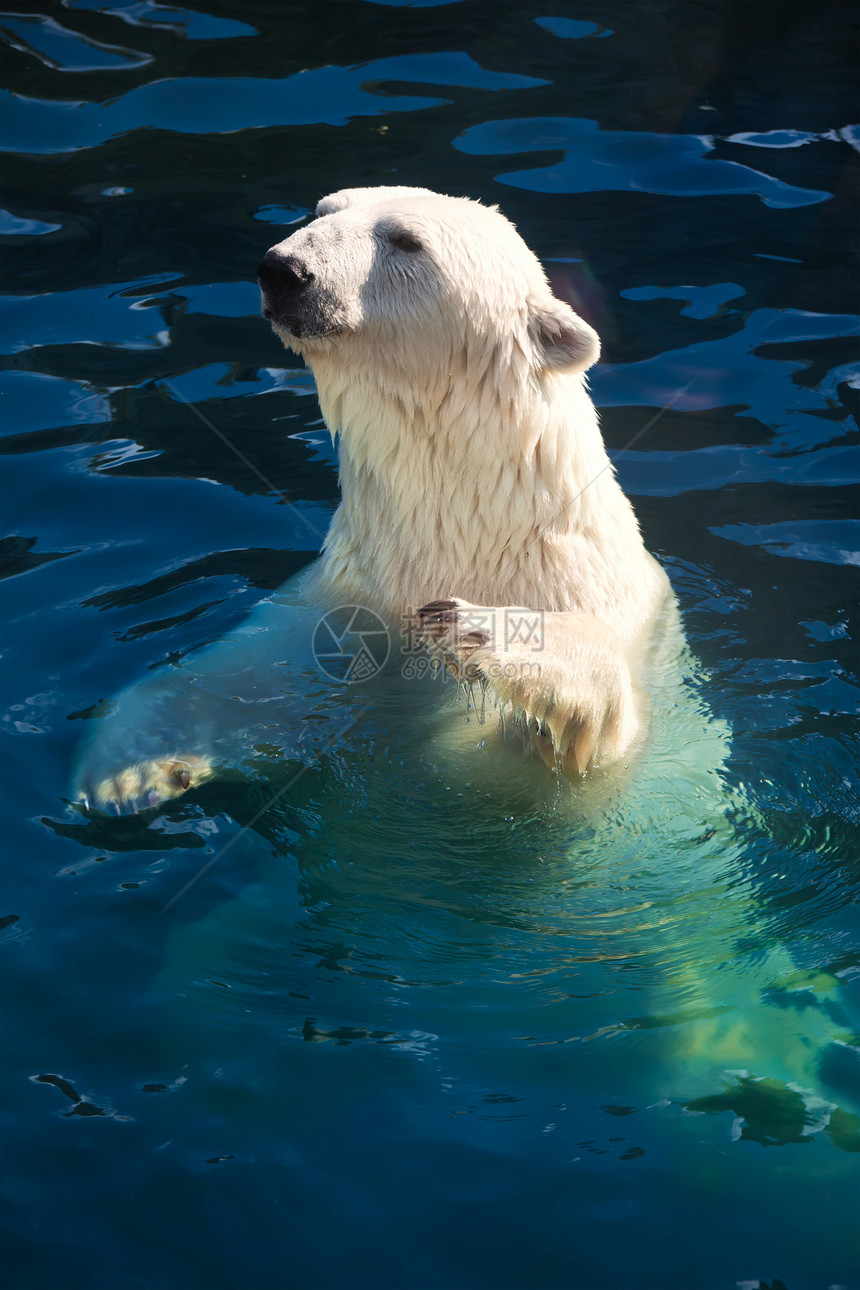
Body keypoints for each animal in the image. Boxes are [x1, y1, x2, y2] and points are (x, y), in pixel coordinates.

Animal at [75, 184, 670, 804]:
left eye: (407, 241)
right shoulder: (346, 592)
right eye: (323, 210)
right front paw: (129, 766)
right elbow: (246, 670)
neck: (470, 536)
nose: (284, 270)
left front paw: (485, 628)